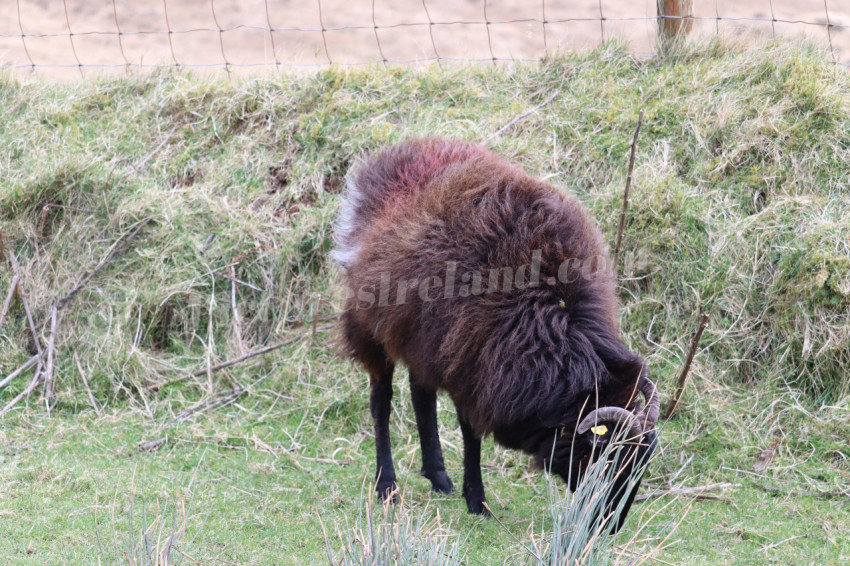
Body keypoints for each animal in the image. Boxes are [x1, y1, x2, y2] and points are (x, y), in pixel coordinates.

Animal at [332, 138, 659, 532]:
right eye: (607, 457)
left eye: (641, 463)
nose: (610, 525)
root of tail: (397, 151)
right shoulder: (472, 367)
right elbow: (471, 435)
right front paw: (478, 501)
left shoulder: (463, 359)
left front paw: (468, 494)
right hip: (372, 325)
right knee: (381, 401)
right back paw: (387, 486)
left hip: (423, 339)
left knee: (421, 395)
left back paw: (438, 476)